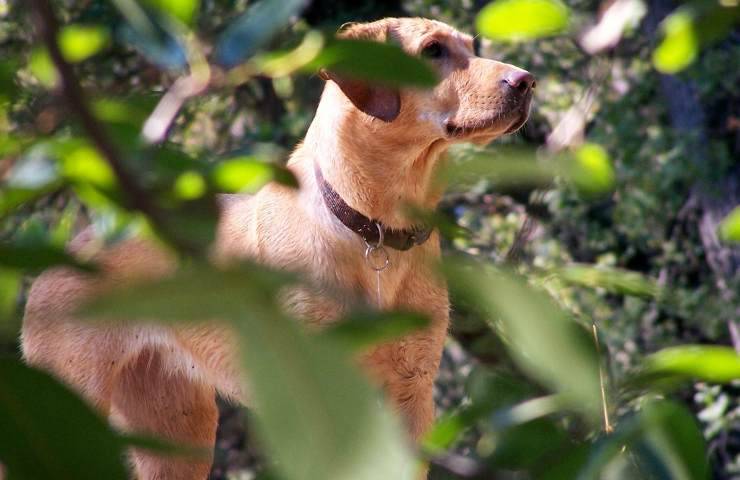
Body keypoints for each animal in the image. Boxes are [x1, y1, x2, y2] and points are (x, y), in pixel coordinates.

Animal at [21, 16, 532, 478]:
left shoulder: (411, 396)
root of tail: (61, 253)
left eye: (472, 45)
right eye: (432, 51)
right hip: (65, 413)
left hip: (178, 431)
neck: (375, 229)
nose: (526, 81)